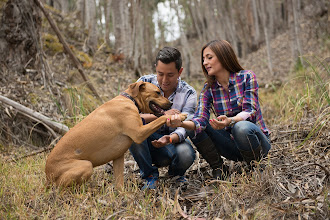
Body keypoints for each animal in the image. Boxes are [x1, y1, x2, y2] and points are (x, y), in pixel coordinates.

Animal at [45, 81, 188, 188]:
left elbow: (119, 183)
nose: (171, 103)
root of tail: (47, 174)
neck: (130, 100)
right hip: (86, 166)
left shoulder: (118, 156)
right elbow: (161, 118)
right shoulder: (139, 133)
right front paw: (178, 115)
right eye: (157, 92)